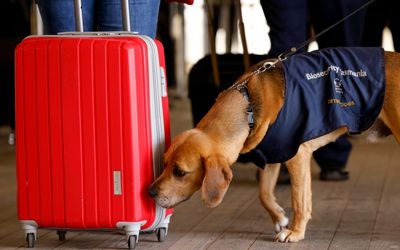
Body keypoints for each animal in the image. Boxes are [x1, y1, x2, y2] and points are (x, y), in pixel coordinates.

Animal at [148, 48, 398, 242]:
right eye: (164, 163)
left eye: (180, 172)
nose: (149, 192)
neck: (248, 105)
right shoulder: (272, 156)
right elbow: (264, 194)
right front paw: (279, 217)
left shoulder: (297, 157)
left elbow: (299, 200)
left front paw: (295, 232)